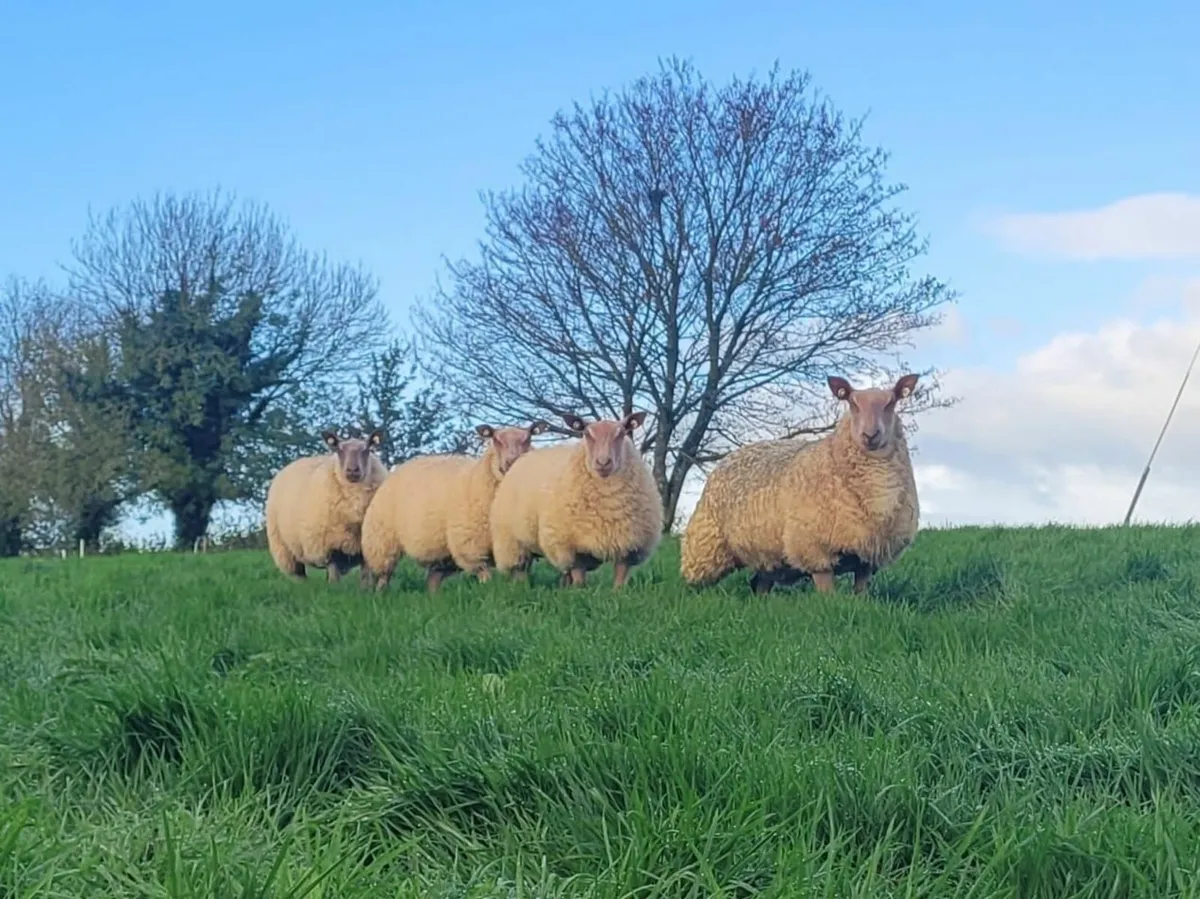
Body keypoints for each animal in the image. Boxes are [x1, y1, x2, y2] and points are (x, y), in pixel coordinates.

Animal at [265, 429, 387, 584]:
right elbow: (334, 577)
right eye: (339, 450)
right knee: (299, 574)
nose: (352, 470)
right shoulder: (329, 545)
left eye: (367, 449)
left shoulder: (368, 545)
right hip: (286, 548)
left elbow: (365, 578)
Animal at [360, 420, 549, 593]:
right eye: (496, 439)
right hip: (382, 540)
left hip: (441, 553)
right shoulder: (470, 546)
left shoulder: (517, 547)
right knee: (384, 574)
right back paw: (380, 595)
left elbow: (521, 578)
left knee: (432, 580)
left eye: (528, 438)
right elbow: (485, 576)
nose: (512, 462)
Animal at [489, 411, 663, 588]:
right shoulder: (571, 545)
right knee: (520, 568)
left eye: (621, 433)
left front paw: (617, 591)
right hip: (512, 539)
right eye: (586, 433)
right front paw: (579, 591)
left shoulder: (629, 544)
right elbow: (579, 576)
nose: (603, 462)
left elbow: (620, 576)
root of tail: (523, 457)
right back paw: (522, 586)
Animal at [680, 373, 921, 595]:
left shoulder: (867, 556)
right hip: (705, 548)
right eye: (852, 403)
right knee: (696, 585)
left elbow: (860, 594)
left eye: (891, 402)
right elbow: (829, 597)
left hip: (768, 555)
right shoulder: (815, 550)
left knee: (759, 584)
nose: (870, 435)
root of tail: (732, 455)